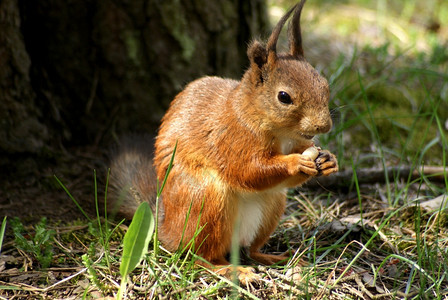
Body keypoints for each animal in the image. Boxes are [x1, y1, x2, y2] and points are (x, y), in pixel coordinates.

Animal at [110, 0, 338, 282]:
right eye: (284, 97)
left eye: (325, 85)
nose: (323, 126)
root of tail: (167, 229)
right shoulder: (231, 139)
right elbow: (248, 171)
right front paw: (296, 163)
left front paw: (328, 160)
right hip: (206, 201)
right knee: (198, 258)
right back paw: (230, 270)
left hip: (272, 205)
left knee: (250, 249)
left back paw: (274, 258)